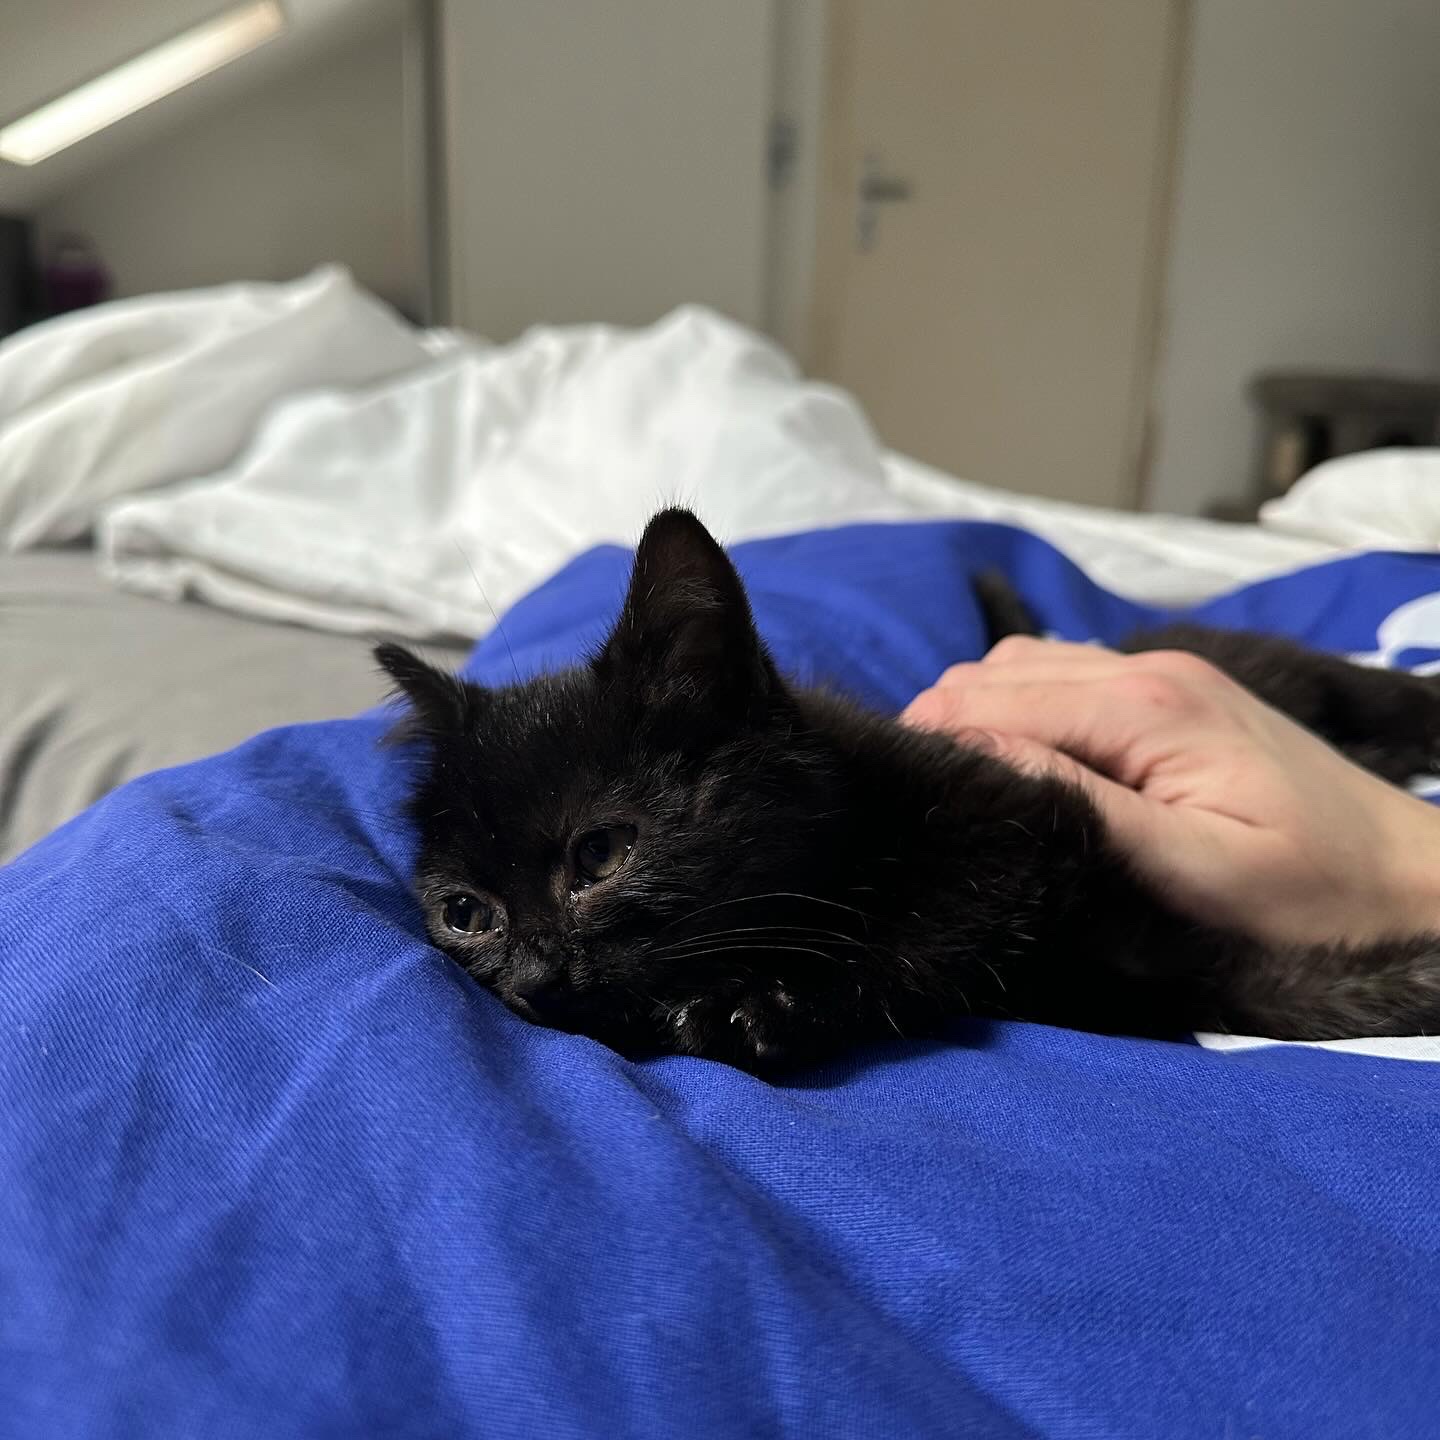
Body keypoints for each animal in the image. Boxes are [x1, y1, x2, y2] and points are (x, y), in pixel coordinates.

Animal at [378, 508, 1440, 1073]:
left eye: (600, 853)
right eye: (465, 913)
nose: (530, 980)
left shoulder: (1023, 822)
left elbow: (931, 921)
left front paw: (769, 1003)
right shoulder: (1175, 963)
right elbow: (1292, 993)